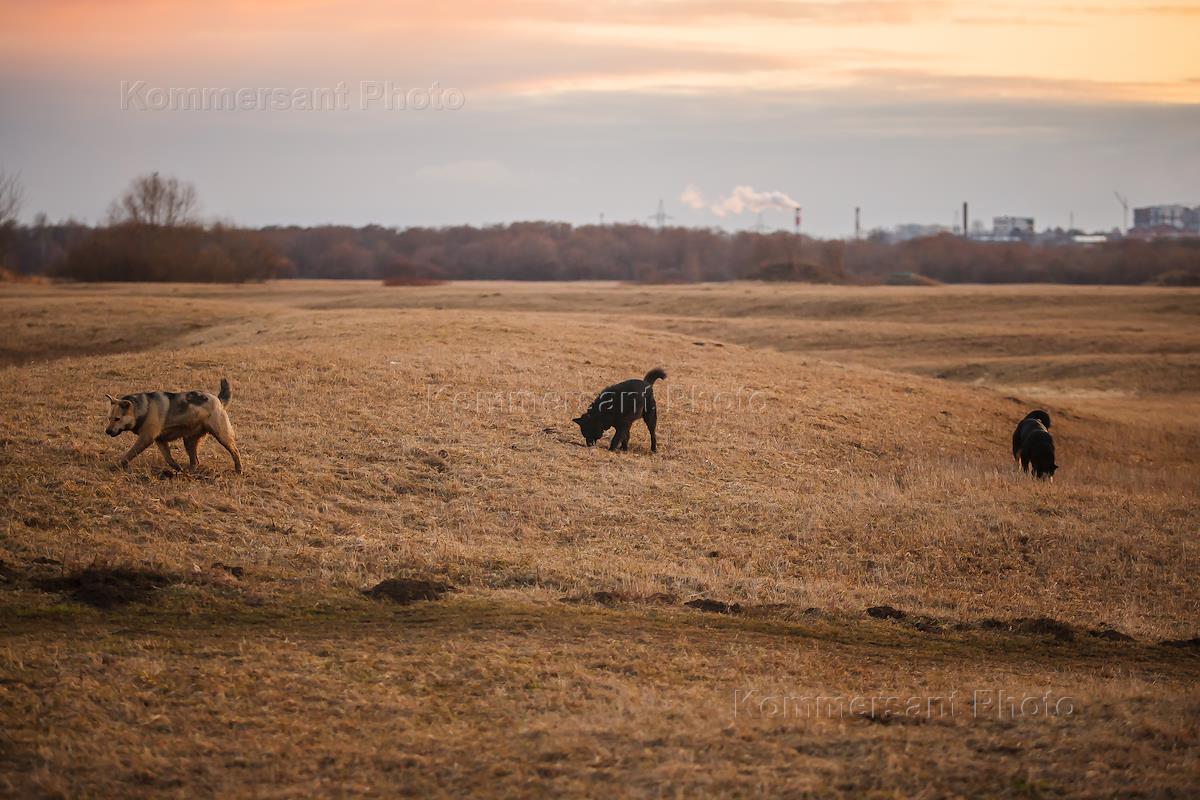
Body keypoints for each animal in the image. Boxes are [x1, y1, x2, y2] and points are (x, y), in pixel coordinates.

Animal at [105, 378, 241, 472]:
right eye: (109, 418)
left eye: (117, 419)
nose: (107, 431)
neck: (144, 408)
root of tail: (218, 400)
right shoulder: (160, 440)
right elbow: (168, 459)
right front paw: (177, 468)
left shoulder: (146, 439)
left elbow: (129, 454)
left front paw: (117, 465)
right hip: (189, 441)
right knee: (195, 461)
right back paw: (189, 473)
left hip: (222, 436)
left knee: (235, 451)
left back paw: (238, 469)